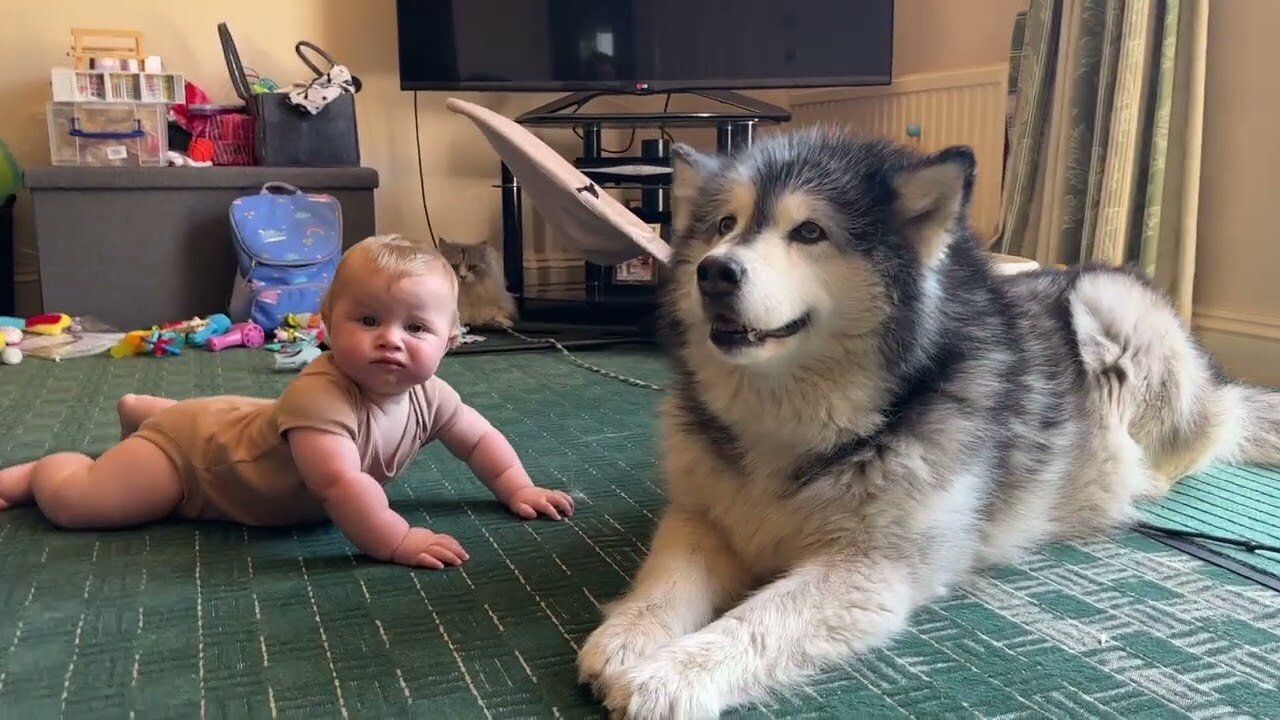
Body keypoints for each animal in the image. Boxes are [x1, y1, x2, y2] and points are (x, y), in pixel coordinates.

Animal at [578, 126, 1280, 712]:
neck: (794, 422)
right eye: (725, 223)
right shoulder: (704, 515)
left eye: (809, 232)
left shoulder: (869, 568)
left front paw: (671, 675)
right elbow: (667, 579)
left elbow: (758, 622)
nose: (714, 271)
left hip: (1108, 300)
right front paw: (628, 637)